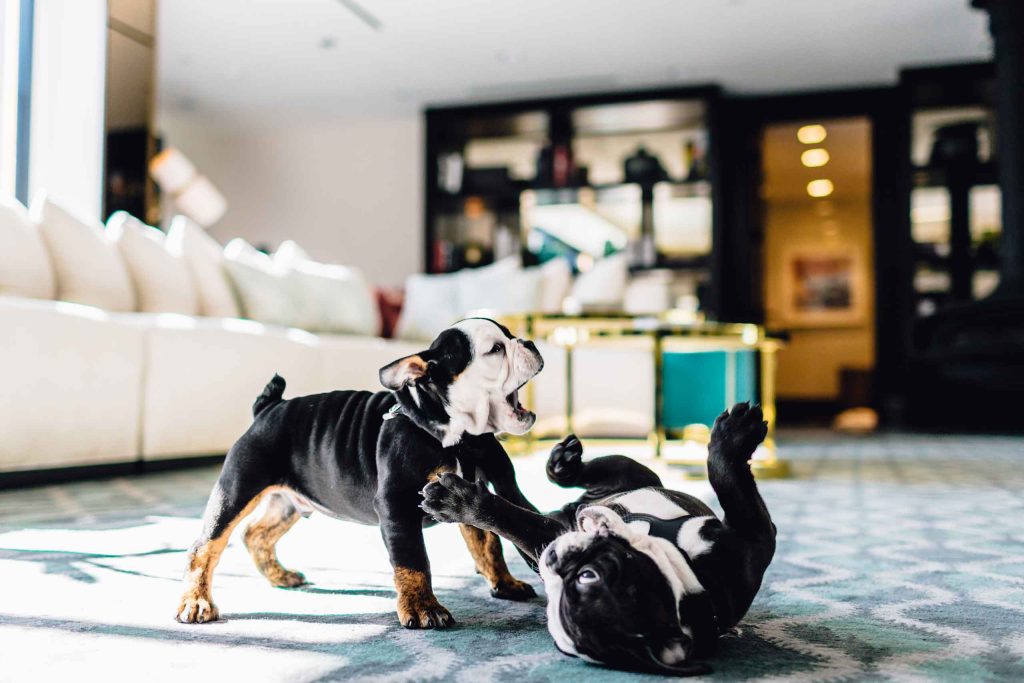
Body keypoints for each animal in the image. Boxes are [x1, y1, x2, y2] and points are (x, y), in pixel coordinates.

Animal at [176, 321, 544, 630]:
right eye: (495, 349)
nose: (528, 341)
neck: (455, 435)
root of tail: (269, 408)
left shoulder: (468, 495)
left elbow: (489, 543)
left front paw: (504, 583)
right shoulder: (398, 506)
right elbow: (413, 560)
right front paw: (422, 607)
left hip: (288, 502)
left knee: (256, 534)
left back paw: (280, 576)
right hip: (237, 490)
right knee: (205, 547)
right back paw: (196, 602)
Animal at [421, 403, 774, 675]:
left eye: (587, 577)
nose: (552, 560)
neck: (686, 574)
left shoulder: (754, 539)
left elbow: (520, 522)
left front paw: (460, 502)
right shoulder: (754, 535)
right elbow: (730, 479)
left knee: (525, 499)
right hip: (626, 475)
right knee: (554, 486)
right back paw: (554, 462)